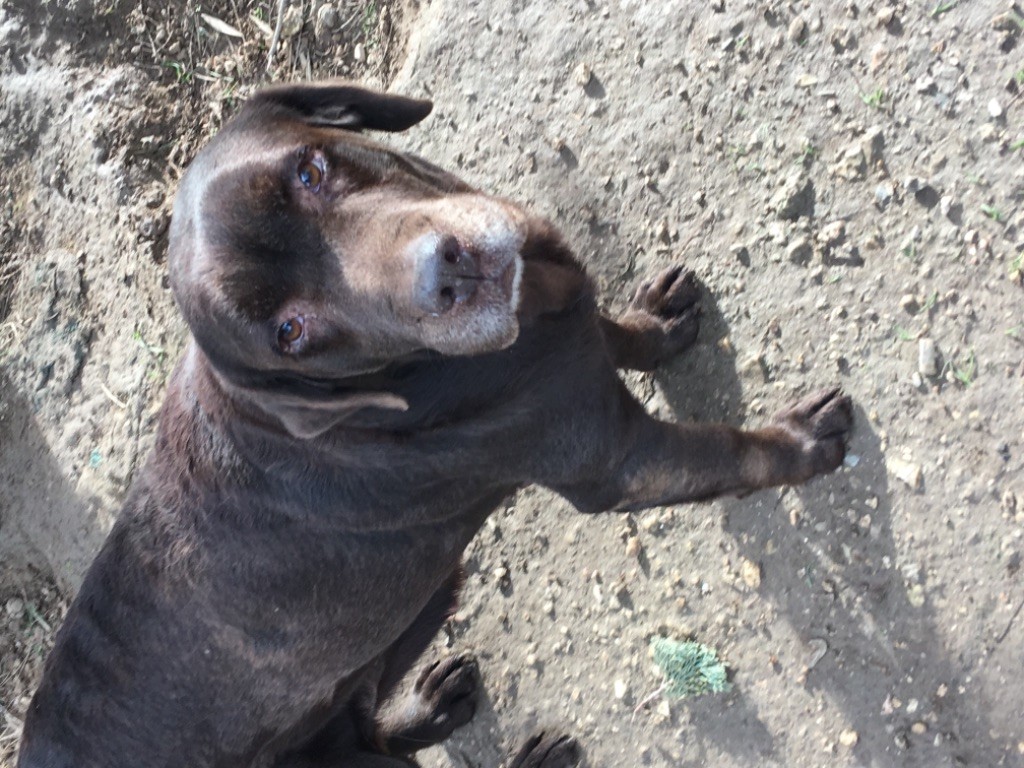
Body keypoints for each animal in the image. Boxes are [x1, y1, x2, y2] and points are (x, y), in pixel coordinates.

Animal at [16, 83, 851, 768]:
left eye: (310, 171)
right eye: (289, 332)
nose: (444, 274)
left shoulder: (573, 344)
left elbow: (620, 333)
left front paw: (659, 325)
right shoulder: (614, 460)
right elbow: (728, 451)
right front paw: (804, 445)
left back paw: (435, 706)